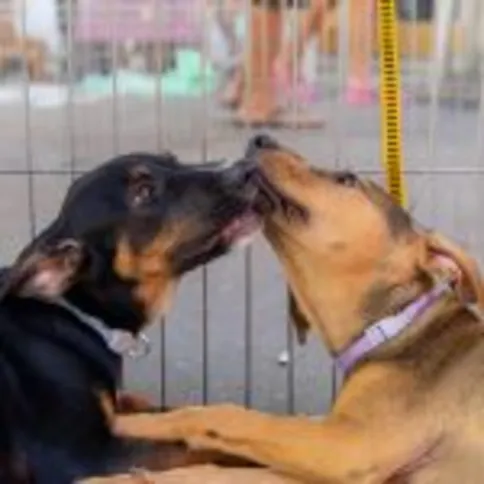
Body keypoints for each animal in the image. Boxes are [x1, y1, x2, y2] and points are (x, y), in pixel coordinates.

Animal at [0, 152, 260, 484]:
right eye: (143, 192)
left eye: (174, 160)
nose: (249, 168)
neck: (82, 316)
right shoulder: (81, 458)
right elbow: (196, 447)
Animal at [111, 137, 484, 484]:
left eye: (347, 179)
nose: (261, 138)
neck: (396, 324)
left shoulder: (350, 445)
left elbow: (227, 416)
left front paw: (133, 425)